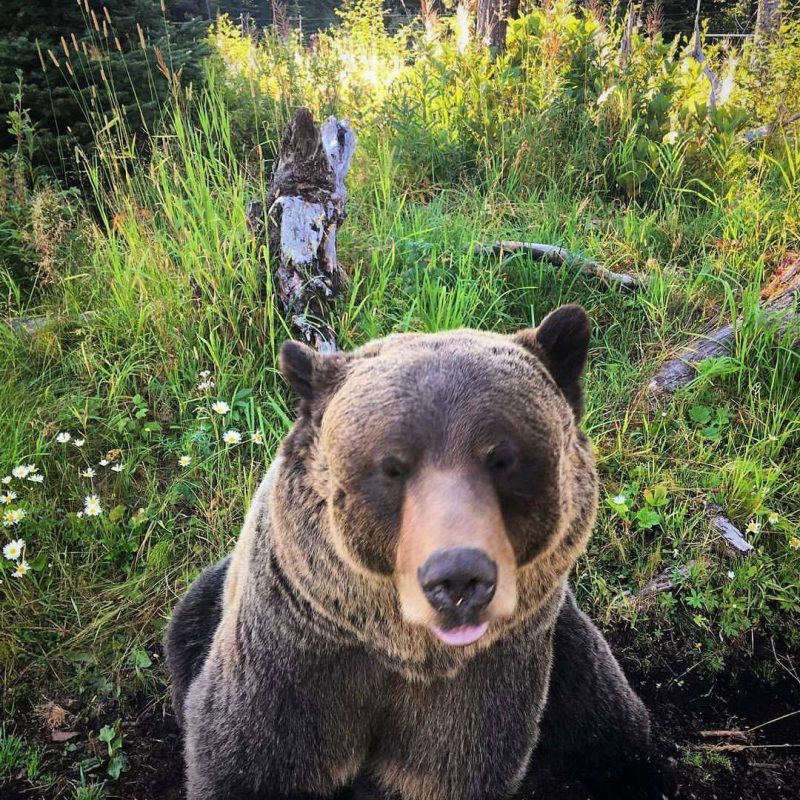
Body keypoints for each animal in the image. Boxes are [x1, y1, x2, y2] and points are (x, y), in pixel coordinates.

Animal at [166, 304, 672, 800]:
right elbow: (245, 760)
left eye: (502, 460)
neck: (405, 653)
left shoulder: (482, 682)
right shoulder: (295, 663)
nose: (459, 576)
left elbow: (444, 768)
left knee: (612, 729)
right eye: (392, 467)